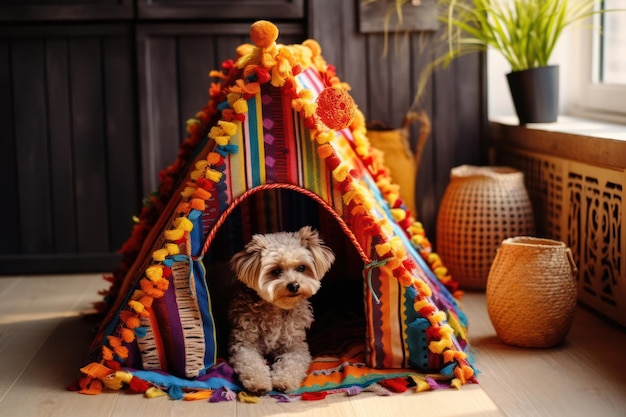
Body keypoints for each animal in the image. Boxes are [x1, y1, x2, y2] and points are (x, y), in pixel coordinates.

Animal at [227, 226, 334, 394]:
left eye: (301, 267)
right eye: (275, 271)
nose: (294, 285)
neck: (276, 309)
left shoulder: (296, 345)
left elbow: (292, 363)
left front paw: (285, 381)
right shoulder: (243, 344)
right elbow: (251, 363)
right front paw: (259, 382)